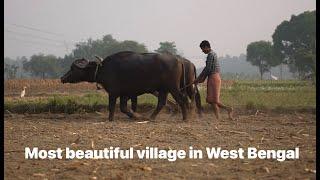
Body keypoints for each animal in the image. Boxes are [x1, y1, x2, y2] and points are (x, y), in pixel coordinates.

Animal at [61, 51, 189, 121]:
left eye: (73, 68)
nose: (62, 78)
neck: (103, 68)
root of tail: (178, 60)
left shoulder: (113, 93)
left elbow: (112, 106)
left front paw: (110, 119)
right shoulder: (125, 94)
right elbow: (124, 108)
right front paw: (137, 116)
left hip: (173, 87)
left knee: (182, 99)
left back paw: (185, 118)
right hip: (163, 89)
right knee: (162, 103)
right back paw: (151, 117)